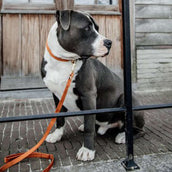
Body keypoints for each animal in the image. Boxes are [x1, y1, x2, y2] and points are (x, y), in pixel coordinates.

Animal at [41, 10, 145, 161]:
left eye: (97, 28)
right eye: (87, 28)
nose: (109, 42)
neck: (64, 61)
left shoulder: (88, 95)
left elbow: (89, 127)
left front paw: (87, 150)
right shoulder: (56, 95)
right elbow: (59, 117)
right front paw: (57, 134)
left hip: (127, 100)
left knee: (139, 130)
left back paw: (123, 136)